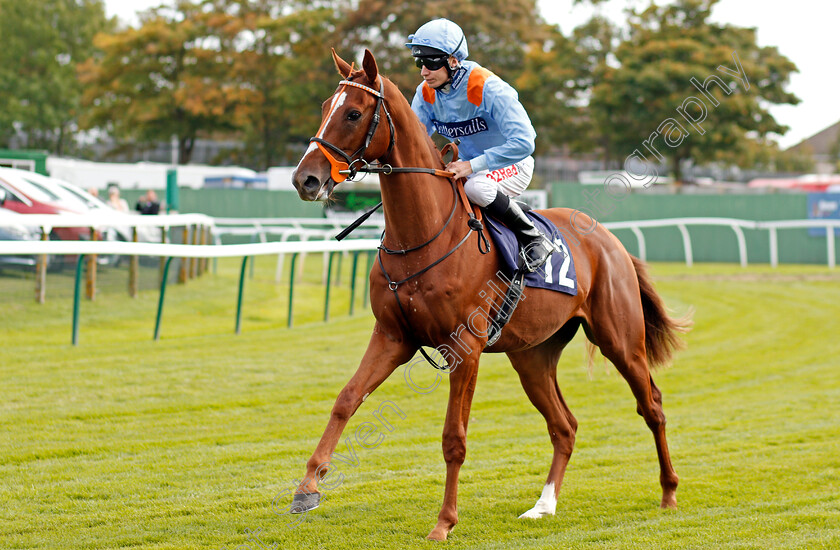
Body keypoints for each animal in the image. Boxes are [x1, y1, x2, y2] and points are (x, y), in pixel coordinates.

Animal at [290, 48, 688, 544]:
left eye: (354, 113)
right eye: (326, 106)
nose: (305, 179)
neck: (423, 237)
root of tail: (610, 240)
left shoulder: (466, 346)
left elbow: (454, 438)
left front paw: (444, 522)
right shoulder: (393, 337)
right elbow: (346, 400)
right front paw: (307, 487)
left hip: (621, 340)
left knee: (652, 406)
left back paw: (669, 493)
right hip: (533, 356)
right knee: (564, 427)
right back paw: (543, 505)